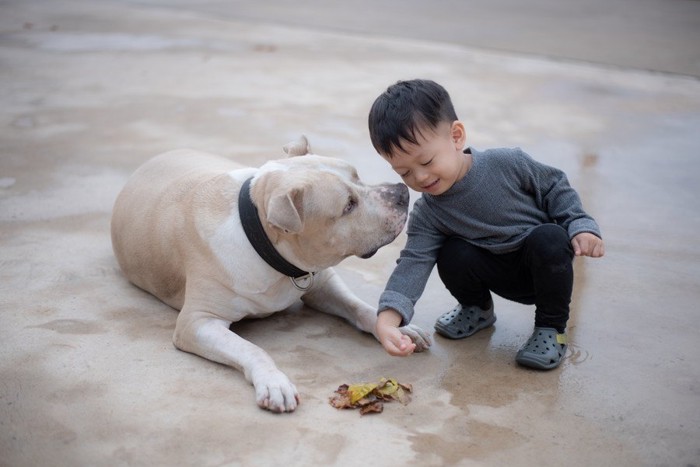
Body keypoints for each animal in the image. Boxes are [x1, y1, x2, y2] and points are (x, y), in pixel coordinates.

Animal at [111, 136, 430, 414]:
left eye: (357, 176)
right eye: (348, 205)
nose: (402, 192)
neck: (261, 239)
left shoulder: (321, 284)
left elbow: (359, 307)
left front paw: (396, 328)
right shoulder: (197, 322)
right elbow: (252, 349)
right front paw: (274, 382)